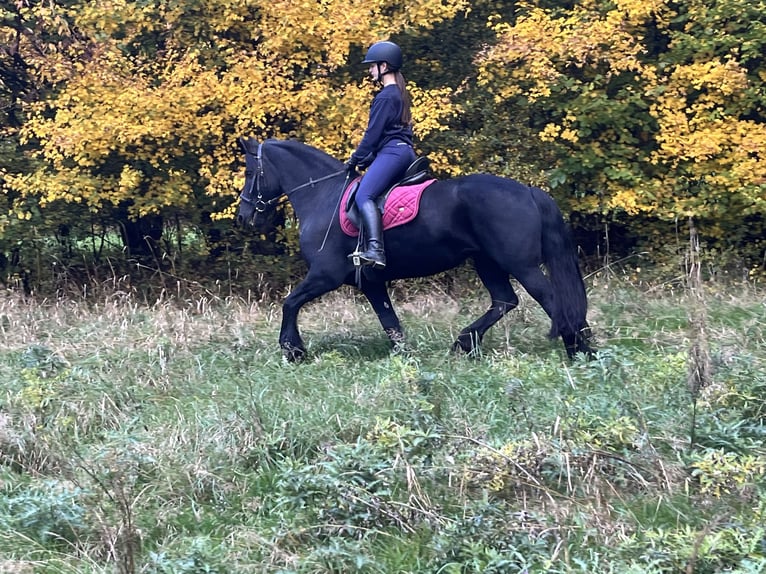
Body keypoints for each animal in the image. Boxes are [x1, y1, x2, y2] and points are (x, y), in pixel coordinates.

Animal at [235, 138, 593, 361]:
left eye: (251, 172)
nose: (244, 216)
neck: (323, 196)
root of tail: (528, 190)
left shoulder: (325, 275)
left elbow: (289, 303)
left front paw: (293, 349)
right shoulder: (372, 283)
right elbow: (390, 323)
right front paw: (404, 359)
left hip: (522, 265)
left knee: (551, 300)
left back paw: (579, 350)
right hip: (486, 262)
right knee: (504, 301)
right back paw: (464, 343)